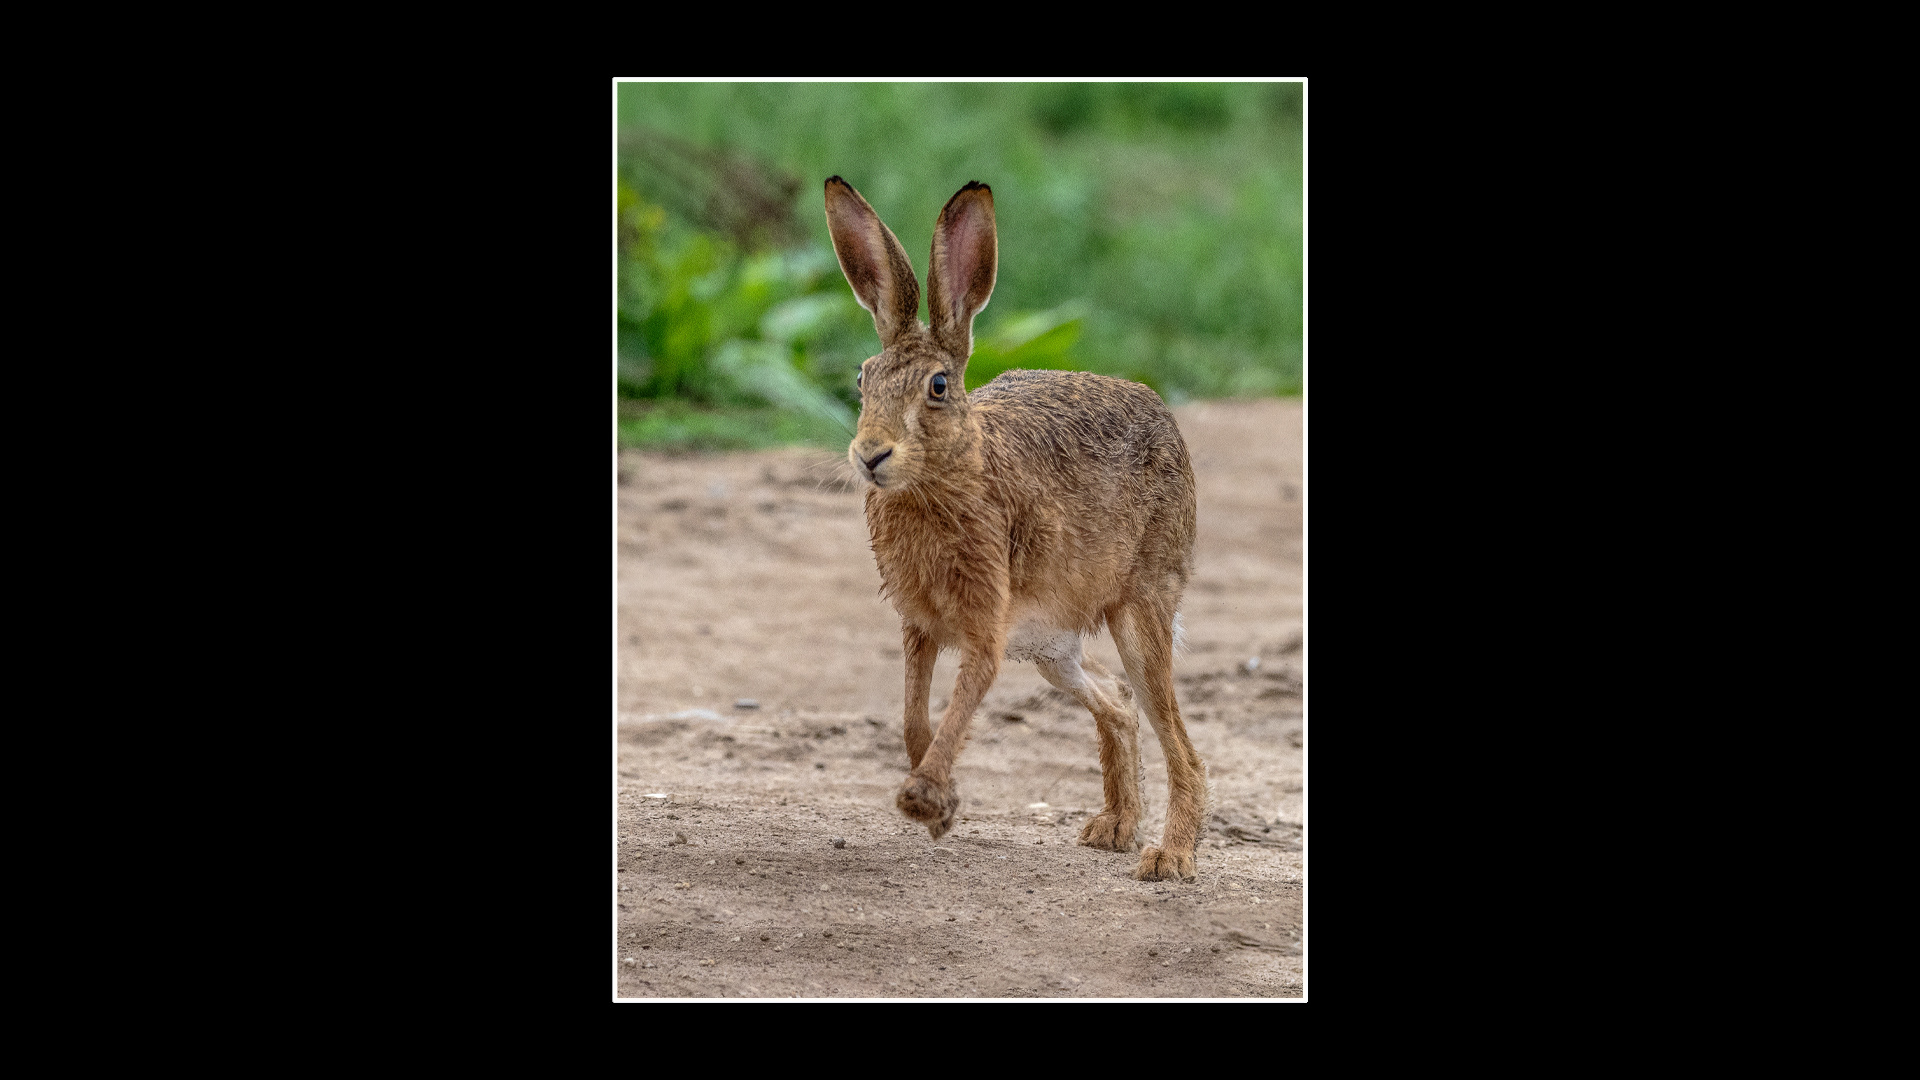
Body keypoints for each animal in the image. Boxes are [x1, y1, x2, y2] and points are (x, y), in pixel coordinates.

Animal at [825, 176, 1209, 883]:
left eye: (938, 386)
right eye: (863, 378)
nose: (870, 455)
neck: (955, 469)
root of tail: (1164, 414)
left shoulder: (985, 625)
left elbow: (960, 703)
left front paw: (924, 800)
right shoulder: (919, 626)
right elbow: (913, 716)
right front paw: (942, 808)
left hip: (1139, 608)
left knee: (1175, 735)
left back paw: (1169, 858)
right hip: (1053, 648)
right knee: (1117, 701)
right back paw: (1114, 828)